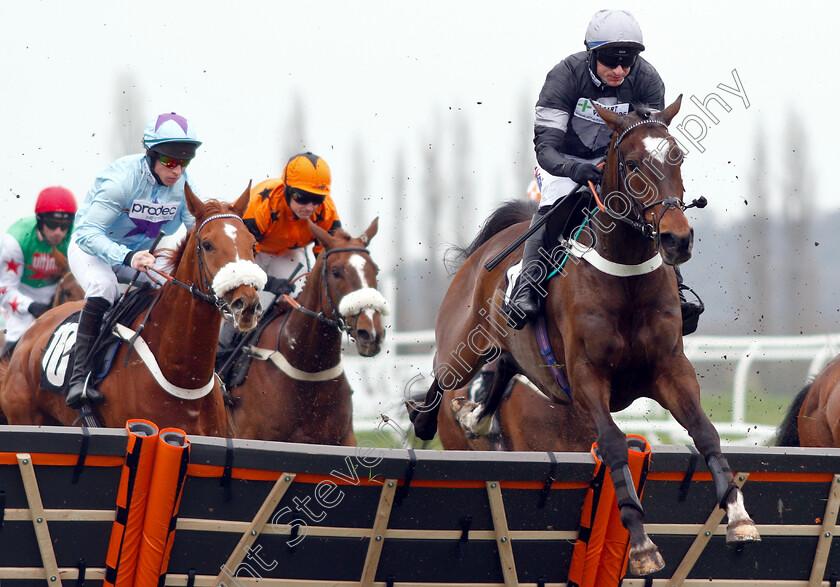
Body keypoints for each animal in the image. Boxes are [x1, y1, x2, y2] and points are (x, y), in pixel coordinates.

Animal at [0, 184, 264, 436]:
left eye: (253, 245)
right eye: (207, 245)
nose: (247, 304)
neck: (185, 379)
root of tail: (32, 332)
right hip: (25, 418)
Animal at [406, 97, 760, 580]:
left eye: (678, 157)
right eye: (631, 163)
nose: (677, 239)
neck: (625, 277)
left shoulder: (670, 368)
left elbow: (705, 432)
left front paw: (739, 517)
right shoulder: (587, 377)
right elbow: (611, 444)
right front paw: (642, 543)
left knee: (505, 365)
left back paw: (475, 415)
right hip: (460, 347)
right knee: (443, 378)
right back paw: (427, 418)